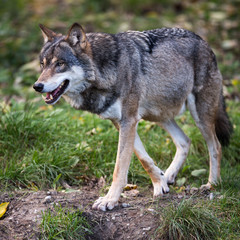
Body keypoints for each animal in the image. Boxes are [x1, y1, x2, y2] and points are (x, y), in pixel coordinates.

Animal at [32, 22, 232, 210]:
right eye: (42, 64)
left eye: (60, 64)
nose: (37, 86)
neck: (105, 70)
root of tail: (204, 42)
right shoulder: (121, 122)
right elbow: (144, 159)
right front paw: (160, 184)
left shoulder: (129, 120)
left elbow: (119, 168)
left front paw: (109, 200)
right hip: (158, 116)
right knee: (185, 141)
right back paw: (168, 175)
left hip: (200, 116)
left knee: (216, 146)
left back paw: (212, 184)